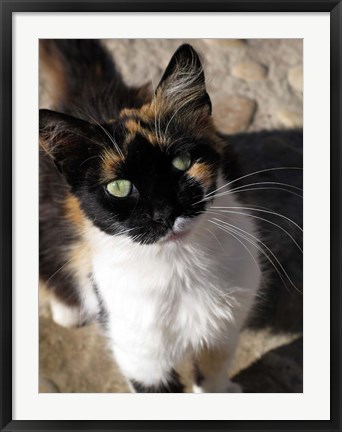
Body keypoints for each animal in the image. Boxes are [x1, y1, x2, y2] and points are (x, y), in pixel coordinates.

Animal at [38, 39, 260, 392]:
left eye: (182, 162)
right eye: (118, 187)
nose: (164, 213)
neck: (180, 265)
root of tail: (90, 89)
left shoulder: (223, 331)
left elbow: (212, 373)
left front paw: (222, 388)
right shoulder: (141, 354)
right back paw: (68, 310)